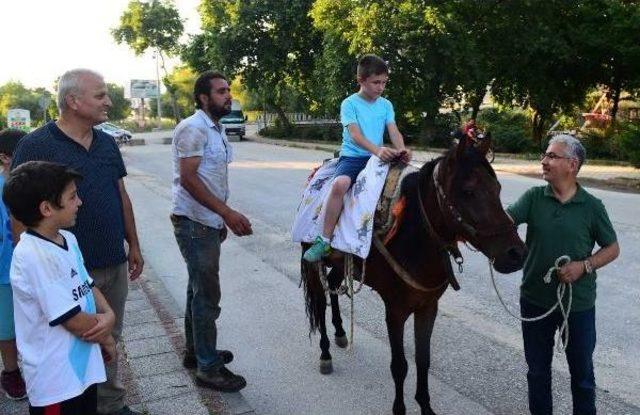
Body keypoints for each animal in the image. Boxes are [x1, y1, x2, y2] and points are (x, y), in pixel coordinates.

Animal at [300, 135, 524, 414]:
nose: (516, 254)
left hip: (342, 265)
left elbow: (423, 359)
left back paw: (341, 333)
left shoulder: (427, 307)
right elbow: (400, 365)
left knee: (332, 288)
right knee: (320, 304)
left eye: (498, 188)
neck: (413, 235)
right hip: (312, 261)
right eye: (468, 191)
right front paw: (400, 408)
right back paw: (325, 353)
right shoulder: (395, 311)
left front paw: (425, 405)